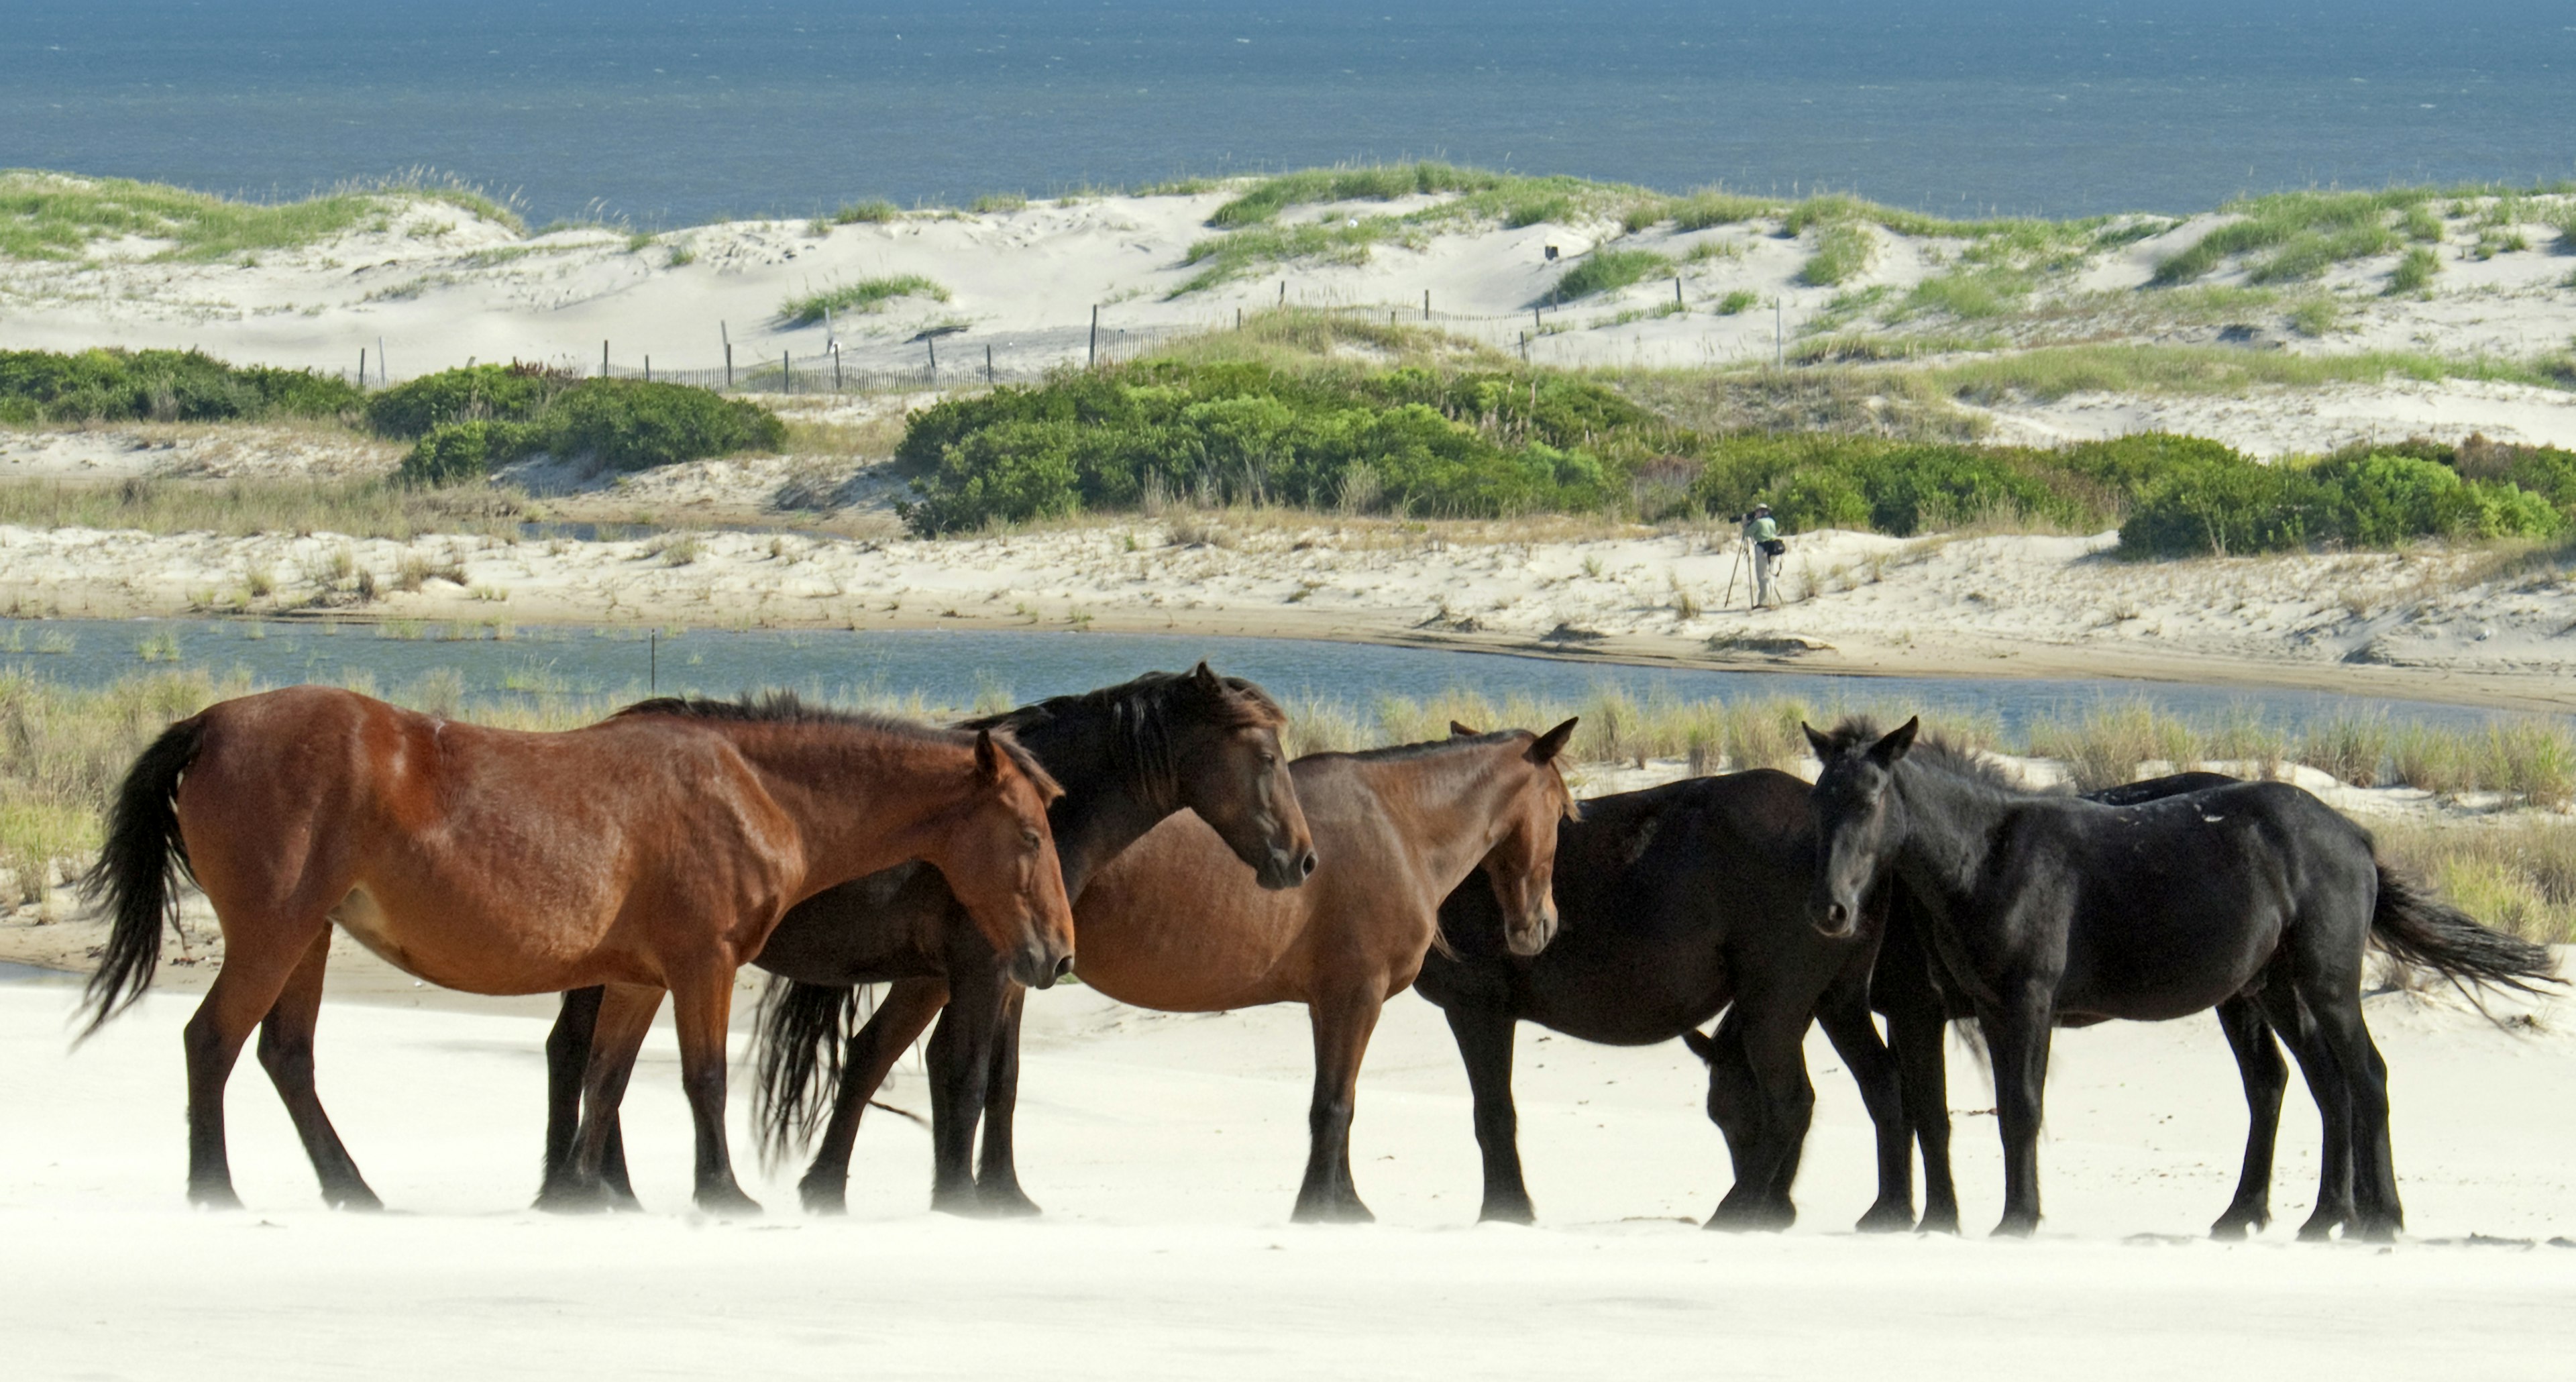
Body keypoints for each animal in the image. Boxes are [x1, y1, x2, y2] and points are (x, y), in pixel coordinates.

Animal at [75, 686, 1071, 1217]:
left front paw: (577, 1191)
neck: (752, 790)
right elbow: (703, 1079)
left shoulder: (636, 980)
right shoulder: (702, 964)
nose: (1056, 955)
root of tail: (211, 723)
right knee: (212, 1042)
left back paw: (350, 1188)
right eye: (1029, 834)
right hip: (274, 932)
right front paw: (721, 1193)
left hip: (310, 936)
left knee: (287, 1056)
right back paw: (216, 1190)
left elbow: (605, 1079)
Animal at [535, 665, 1319, 1217]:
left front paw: (859, 1187)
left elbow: (939, 1069)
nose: (1303, 861)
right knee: (577, 1051)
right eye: (1265, 756)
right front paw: (962, 1196)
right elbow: (964, 1072)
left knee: (589, 1053)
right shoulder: (982, 968)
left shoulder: (974, 973)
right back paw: (589, 1188)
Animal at [752, 722, 1576, 1222]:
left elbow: (1336, 1105)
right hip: (958, 971)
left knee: (892, 1058)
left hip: (960, 973)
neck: (1396, 823)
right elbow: (1334, 1106)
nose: (1539, 928)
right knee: (906, 1059)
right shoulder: (1354, 997)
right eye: (1566, 812)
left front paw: (1341, 1203)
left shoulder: (1333, 1003)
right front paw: (1324, 1208)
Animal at [1803, 716, 2544, 1237]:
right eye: (1820, 801)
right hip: (2273, 989)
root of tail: (2355, 836)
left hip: (2326, 986)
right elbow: (1979, 1111)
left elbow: (2019, 1108)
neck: (1989, 857)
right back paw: (2306, 1217)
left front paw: (2017, 1219)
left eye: (1870, 798)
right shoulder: (1985, 1008)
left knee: (2366, 1078)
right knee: (2318, 1084)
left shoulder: (2021, 1004)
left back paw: (2381, 1218)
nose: (1831, 908)